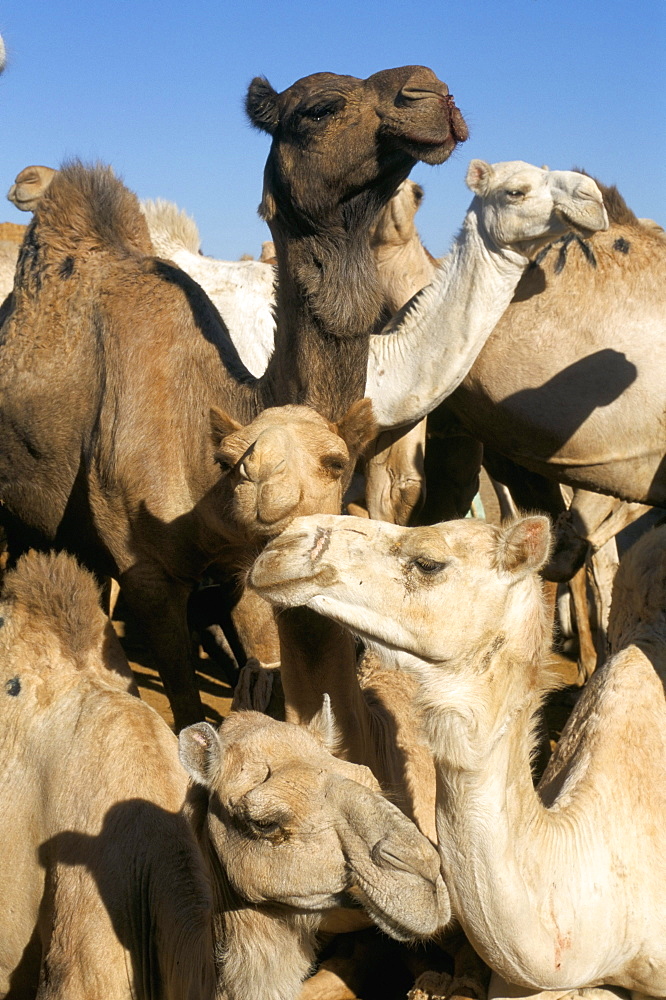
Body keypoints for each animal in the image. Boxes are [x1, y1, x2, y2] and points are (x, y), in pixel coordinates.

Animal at [1, 66, 466, 732]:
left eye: (334, 462)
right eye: (320, 109)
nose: (432, 94)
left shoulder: (243, 565)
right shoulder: (146, 573)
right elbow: (185, 710)